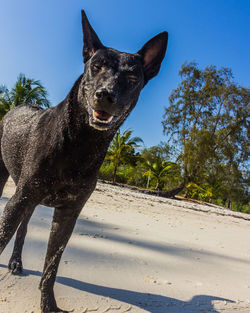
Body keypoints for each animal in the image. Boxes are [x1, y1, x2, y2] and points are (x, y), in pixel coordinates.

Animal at [0, 10, 168, 312]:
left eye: (132, 77)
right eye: (96, 66)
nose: (106, 95)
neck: (79, 143)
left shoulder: (69, 214)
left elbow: (51, 268)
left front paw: (48, 305)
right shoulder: (19, 201)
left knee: (24, 229)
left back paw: (16, 262)